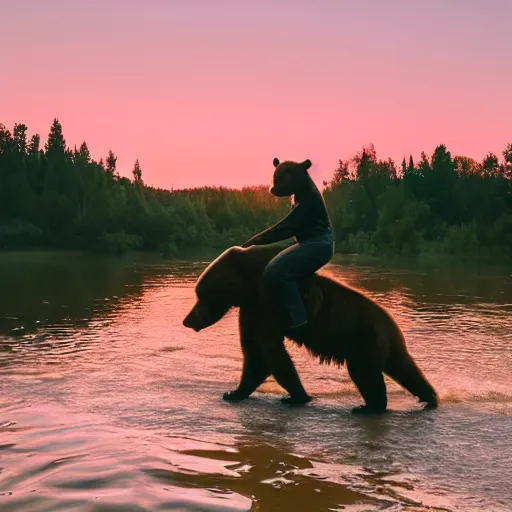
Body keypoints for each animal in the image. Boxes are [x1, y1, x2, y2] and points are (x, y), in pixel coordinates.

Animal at [182, 242, 438, 414]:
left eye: (200, 294)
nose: (187, 321)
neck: (247, 285)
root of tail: (392, 323)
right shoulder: (251, 310)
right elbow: (254, 350)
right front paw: (234, 392)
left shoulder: (267, 303)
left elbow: (270, 351)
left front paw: (296, 396)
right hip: (385, 344)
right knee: (405, 368)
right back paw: (429, 398)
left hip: (361, 337)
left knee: (365, 372)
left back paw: (369, 407)